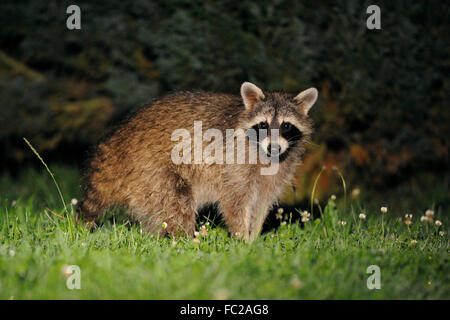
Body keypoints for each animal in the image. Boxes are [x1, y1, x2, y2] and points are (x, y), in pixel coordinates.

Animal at [78, 82, 316, 240]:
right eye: (263, 125)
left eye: (286, 126)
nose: (273, 147)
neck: (266, 154)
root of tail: (116, 143)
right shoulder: (234, 164)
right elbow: (235, 203)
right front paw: (242, 240)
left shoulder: (276, 172)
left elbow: (262, 203)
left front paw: (254, 236)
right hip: (151, 169)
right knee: (176, 205)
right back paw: (182, 241)